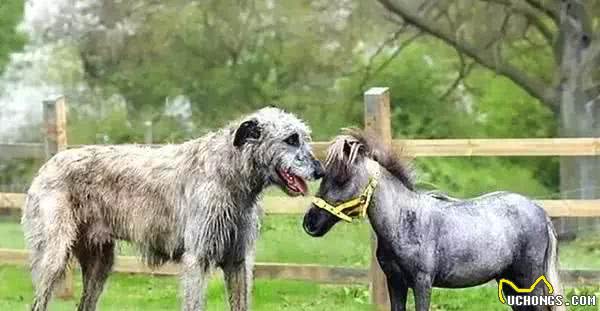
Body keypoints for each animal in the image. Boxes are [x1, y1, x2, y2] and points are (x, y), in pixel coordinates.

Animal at [22, 108, 324, 311]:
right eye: (291, 139)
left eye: (304, 137)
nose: (320, 170)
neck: (229, 173)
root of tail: (46, 165)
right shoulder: (197, 260)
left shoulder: (238, 261)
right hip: (53, 255)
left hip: (100, 261)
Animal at [304, 130, 564, 310]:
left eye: (342, 179)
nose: (310, 223)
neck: (403, 221)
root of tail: (541, 212)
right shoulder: (395, 282)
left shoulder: (422, 282)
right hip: (511, 284)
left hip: (529, 280)